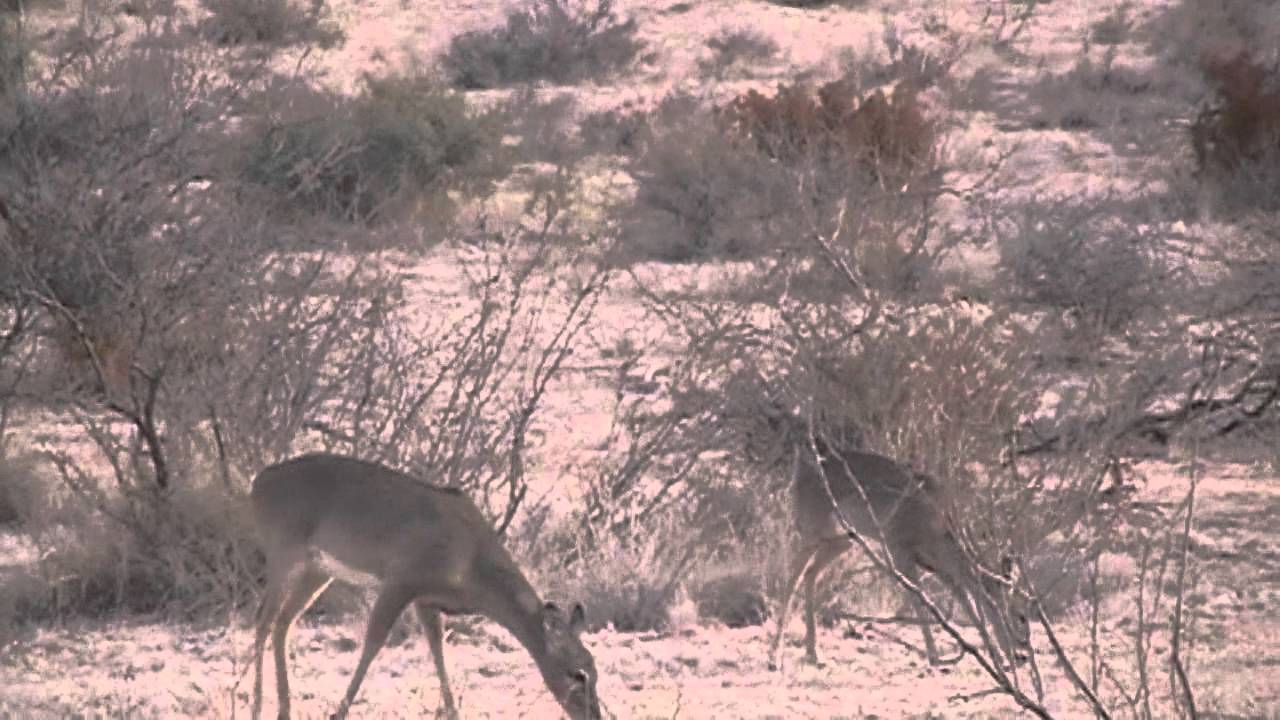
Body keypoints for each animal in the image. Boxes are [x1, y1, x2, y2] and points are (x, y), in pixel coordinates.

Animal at [249, 453, 602, 720]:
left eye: (594, 668)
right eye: (577, 674)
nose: (593, 716)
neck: (470, 560)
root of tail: (257, 484)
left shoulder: (427, 599)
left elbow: (438, 650)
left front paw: (453, 713)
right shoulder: (402, 579)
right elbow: (374, 643)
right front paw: (339, 712)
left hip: (317, 569)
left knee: (283, 622)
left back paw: (284, 709)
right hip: (283, 551)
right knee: (263, 620)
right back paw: (256, 707)